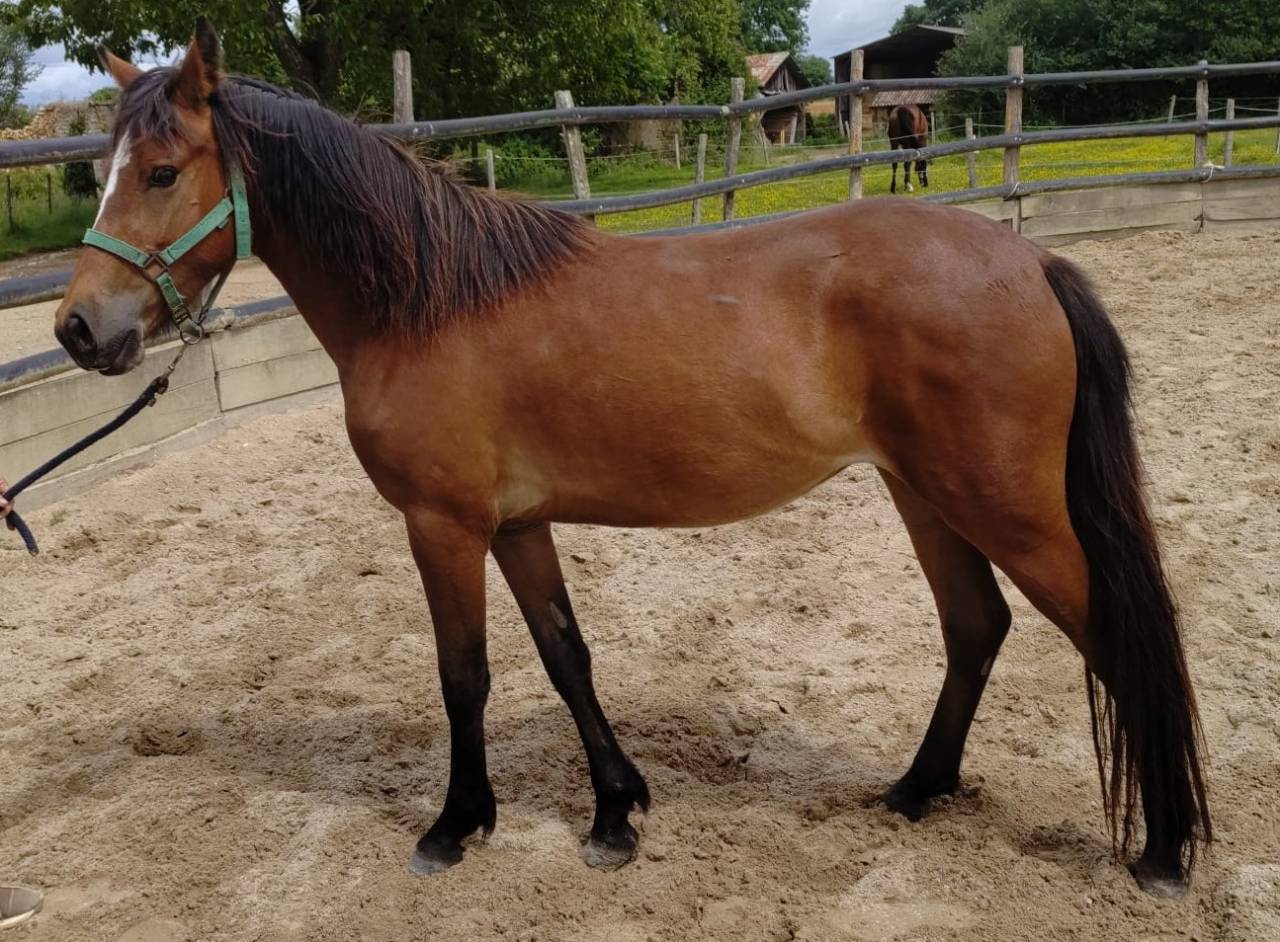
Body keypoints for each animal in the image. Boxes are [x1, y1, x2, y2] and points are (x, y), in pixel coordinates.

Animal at [55, 21, 1210, 897]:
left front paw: (454, 825)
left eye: (161, 171)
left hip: (1001, 505)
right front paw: (615, 811)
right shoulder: (518, 524)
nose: (79, 330)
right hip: (924, 495)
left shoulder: (443, 526)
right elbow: (567, 657)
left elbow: (463, 675)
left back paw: (1160, 852)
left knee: (1111, 631)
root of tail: (1031, 260)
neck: (429, 301)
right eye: (101, 174)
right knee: (975, 627)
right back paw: (915, 791)